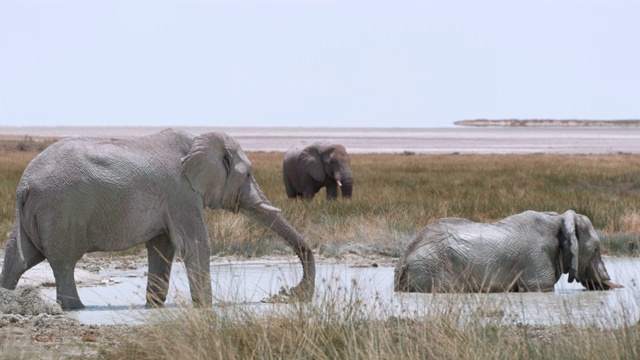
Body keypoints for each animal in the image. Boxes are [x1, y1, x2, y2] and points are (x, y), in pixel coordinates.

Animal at [0, 129, 316, 310]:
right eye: (248, 174)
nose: (290, 294)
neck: (196, 140)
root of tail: (23, 185)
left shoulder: (172, 200)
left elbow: (163, 248)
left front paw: (154, 307)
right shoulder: (181, 192)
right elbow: (195, 244)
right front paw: (206, 308)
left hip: (36, 212)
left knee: (20, 256)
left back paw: (8, 297)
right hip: (60, 210)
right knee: (63, 262)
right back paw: (77, 308)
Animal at [392, 211, 624, 292]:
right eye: (595, 250)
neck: (558, 218)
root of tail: (403, 260)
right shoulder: (537, 260)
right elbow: (542, 287)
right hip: (433, 269)